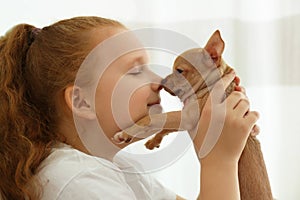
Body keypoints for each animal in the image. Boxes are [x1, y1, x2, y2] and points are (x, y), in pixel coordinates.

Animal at [114, 30, 272, 200]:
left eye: (179, 71)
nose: (162, 81)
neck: (210, 85)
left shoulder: (187, 117)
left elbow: (155, 118)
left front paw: (126, 132)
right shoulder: (183, 119)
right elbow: (165, 127)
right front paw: (153, 141)